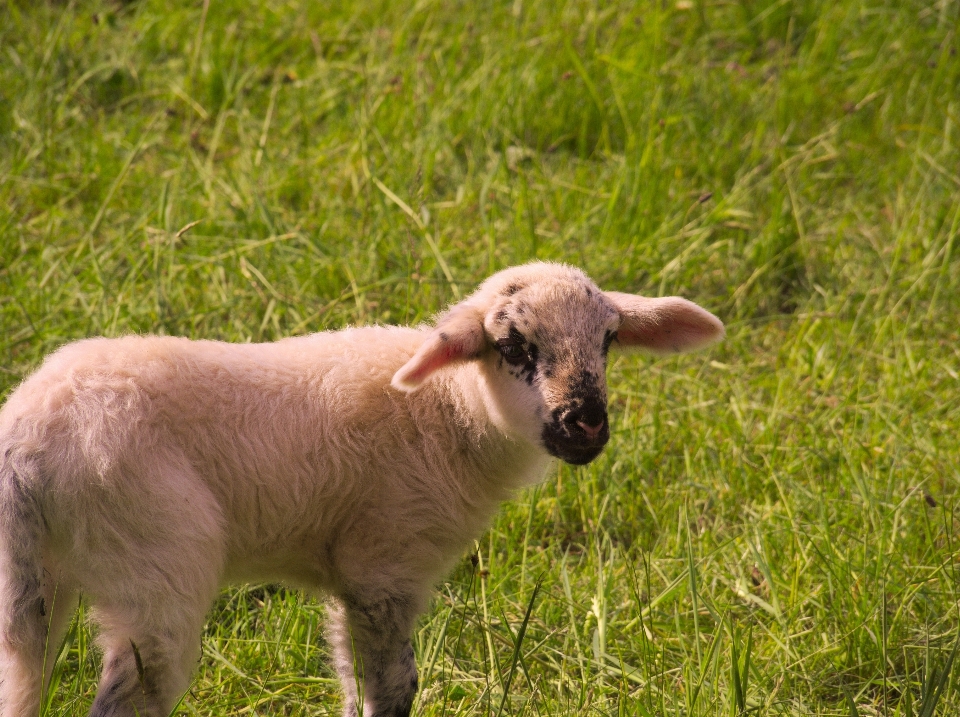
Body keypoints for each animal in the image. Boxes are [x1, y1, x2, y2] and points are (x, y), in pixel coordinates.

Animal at [0, 262, 720, 716]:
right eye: (514, 345)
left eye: (609, 340)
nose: (586, 424)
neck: (448, 411)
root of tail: (27, 440)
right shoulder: (385, 563)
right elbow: (393, 689)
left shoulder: (346, 574)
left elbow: (352, 682)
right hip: (154, 563)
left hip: (31, 585)